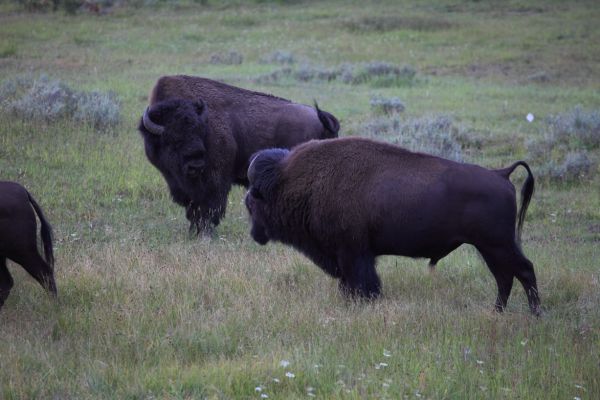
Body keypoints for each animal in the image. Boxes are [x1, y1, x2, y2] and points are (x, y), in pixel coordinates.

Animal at [138, 74, 340, 234]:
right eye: (173, 140)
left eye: (200, 132)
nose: (195, 165)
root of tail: (322, 118)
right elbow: (193, 208)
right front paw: (194, 231)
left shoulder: (215, 180)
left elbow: (210, 206)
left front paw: (206, 232)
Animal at [246, 138, 540, 316]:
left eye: (252, 202)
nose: (255, 235)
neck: (295, 181)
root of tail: (501, 174)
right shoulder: (353, 255)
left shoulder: (352, 253)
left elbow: (362, 282)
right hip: (490, 247)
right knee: (505, 276)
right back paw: (498, 311)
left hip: (496, 244)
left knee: (522, 270)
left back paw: (535, 313)